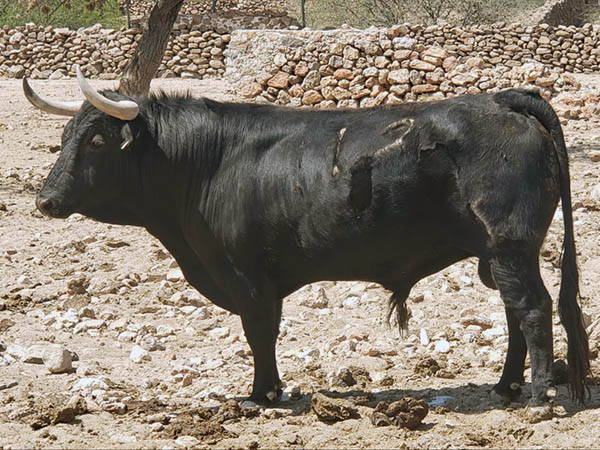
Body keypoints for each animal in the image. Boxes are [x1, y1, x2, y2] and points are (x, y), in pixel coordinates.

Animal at [23, 65, 589, 413]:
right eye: (64, 138)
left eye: (97, 141)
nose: (45, 201)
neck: (207, 162)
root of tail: (504, 99)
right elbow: (264, 335)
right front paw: (269, 390)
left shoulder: (248, 277)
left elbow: (259, 333)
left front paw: (261, 395)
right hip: (496, 255)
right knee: (515, 312)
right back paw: (505, 386)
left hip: (511, 247)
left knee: (533, 309)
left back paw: (537, 394)